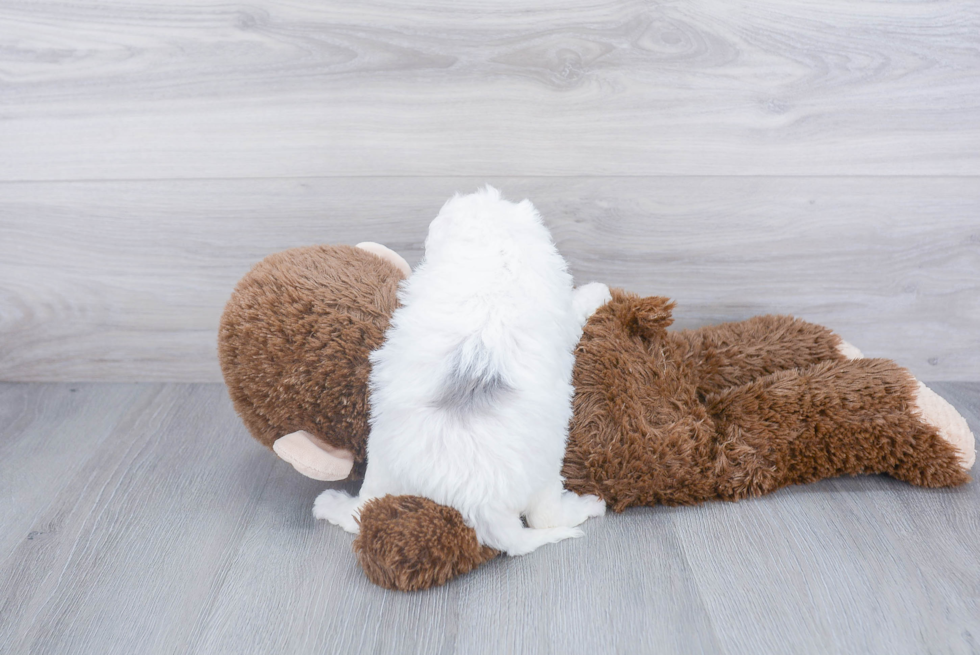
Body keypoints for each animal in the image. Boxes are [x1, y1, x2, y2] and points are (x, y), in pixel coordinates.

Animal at [314, 187, 604, 556]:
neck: (493, 248)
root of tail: (475, 505)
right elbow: (577, 305)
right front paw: (597, 292)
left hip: (382, 462)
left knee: (362, 511)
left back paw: (330, 505)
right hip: (546, 470)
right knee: (546, 518)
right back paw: (590, 505)